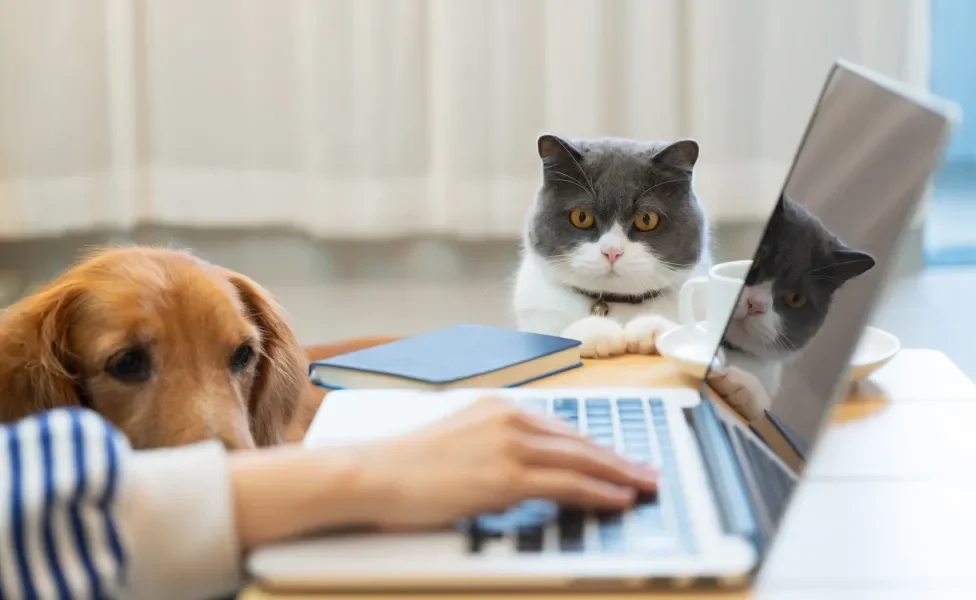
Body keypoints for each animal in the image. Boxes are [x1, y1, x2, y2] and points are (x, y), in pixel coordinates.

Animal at [510, 135, 708, 356]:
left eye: (647, 219)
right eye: (581, 217)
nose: (612, 252)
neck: (613, 300)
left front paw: (652, 328)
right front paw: (596, 331)